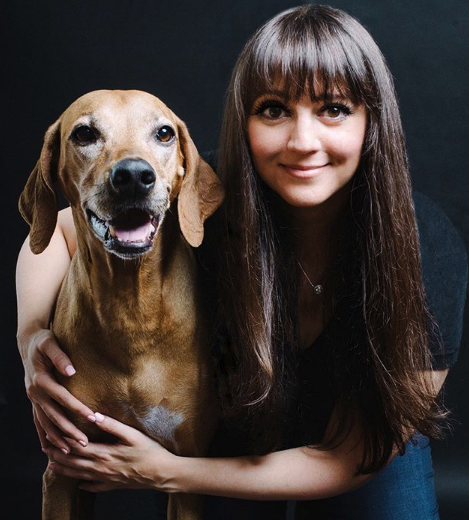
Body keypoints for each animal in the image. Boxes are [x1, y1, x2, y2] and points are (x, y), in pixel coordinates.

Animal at [18, 90, 223, 520]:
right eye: (84, 133)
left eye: (164, 133)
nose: (133, 175)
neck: (132, 311)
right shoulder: (62, 468)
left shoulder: (185, 472)